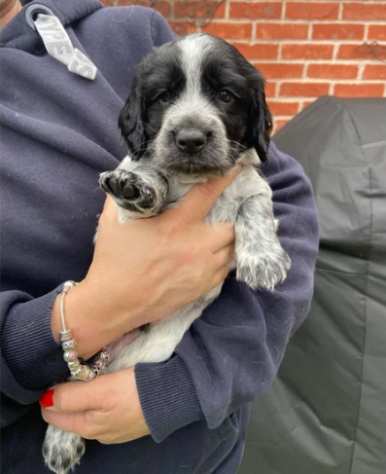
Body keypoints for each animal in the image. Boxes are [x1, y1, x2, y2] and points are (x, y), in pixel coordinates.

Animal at [43, 34, 290, 474]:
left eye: (226, 95)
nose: (190, 138)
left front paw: (263, 259)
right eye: (162, 97)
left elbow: (254, 207)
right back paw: (60, 439)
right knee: (69, 381)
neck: (193, 181)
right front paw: (136, 187)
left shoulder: (251, 183)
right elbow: (147, 176)